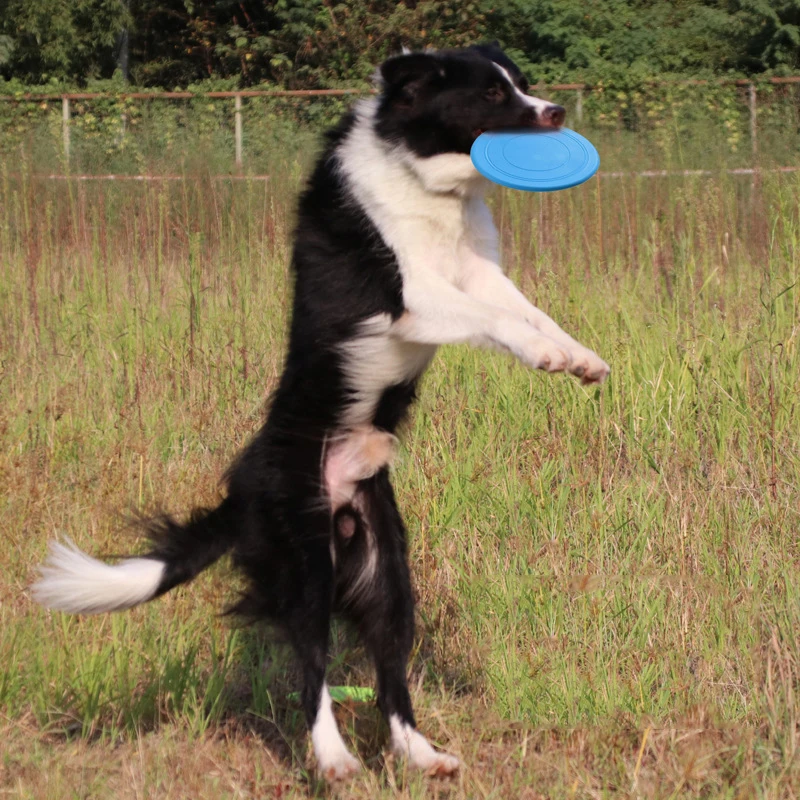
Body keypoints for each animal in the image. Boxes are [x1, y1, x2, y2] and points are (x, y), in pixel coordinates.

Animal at [29, 42, 608, 780]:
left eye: (522, 86)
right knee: (313, 670)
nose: (556, 112)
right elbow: (502, 321)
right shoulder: (413, 295)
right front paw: (545, 355)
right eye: (490, 95)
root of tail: (241, 492)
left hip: (386, 571)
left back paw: (424, 757)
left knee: (390, 674)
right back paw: (334, 761)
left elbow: (530, 310)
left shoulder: (480, 273)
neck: (428, 183)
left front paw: (579, 357)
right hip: (304, 563)